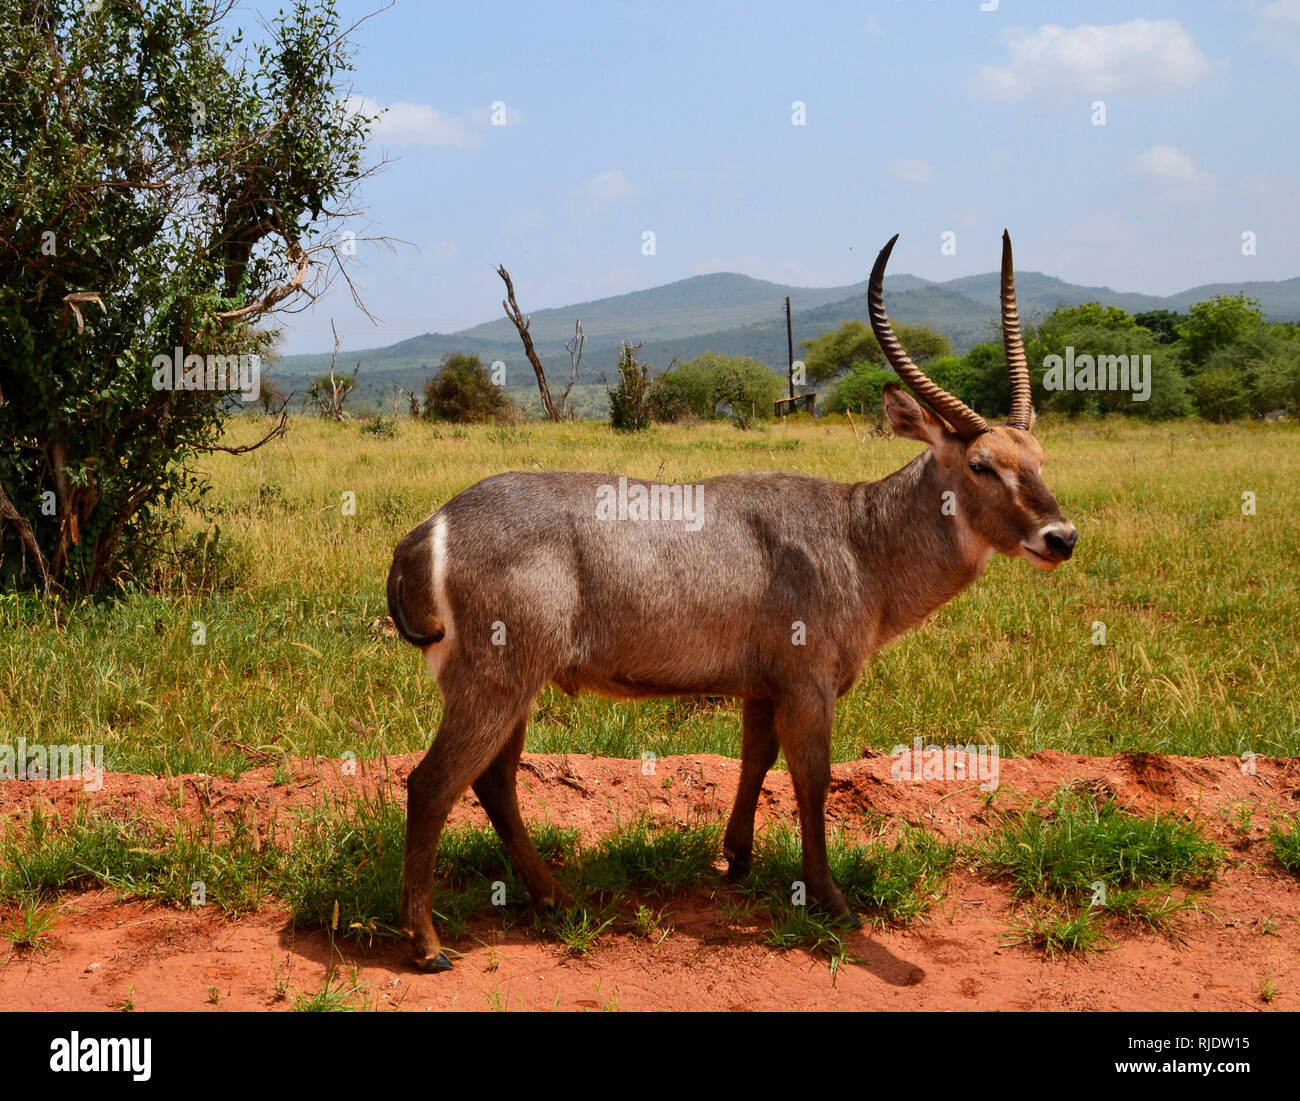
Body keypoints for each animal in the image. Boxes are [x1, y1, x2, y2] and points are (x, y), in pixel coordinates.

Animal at [387, 231, 1078, 972]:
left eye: (1038, 455)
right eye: (981, 464)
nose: (1060, 537)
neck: (858, 536)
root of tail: (432, 526)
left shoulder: (763, 685)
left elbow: (756, 760)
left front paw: (737, 859)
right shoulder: (809, 682)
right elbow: (812, 778)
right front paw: (830, 899)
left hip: (514, 684)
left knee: (494, 783)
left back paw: (554, 897)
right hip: (497, 680)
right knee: (432, 785)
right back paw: (428, 944)